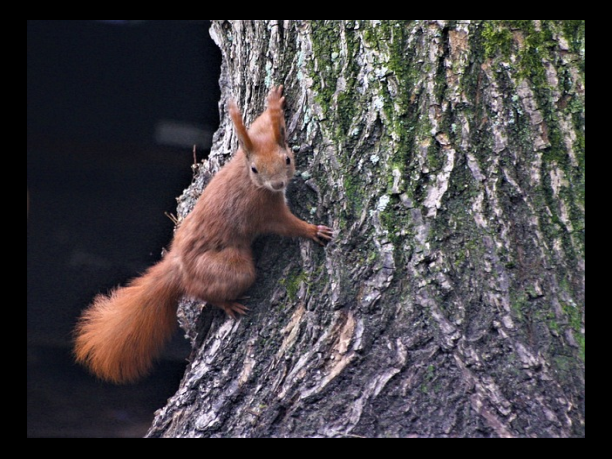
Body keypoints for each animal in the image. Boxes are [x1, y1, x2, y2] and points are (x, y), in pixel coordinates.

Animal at [74, 86, 333, 384]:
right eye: (255, 169)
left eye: (287, 159)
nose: (278, 184)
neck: (248, 177)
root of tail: (178, 265)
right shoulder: (265, 210)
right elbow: (286, 225)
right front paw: (312, 231)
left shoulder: (256, 141)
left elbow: (260, 125)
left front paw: (274, 103)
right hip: (229, 268)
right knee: (203, 289)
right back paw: (227, 304)